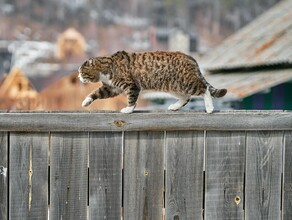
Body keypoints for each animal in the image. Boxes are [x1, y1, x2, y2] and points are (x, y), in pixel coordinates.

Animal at [77, 51, 226, 113]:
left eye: (82, 72)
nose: (78, 77)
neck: (108, 67)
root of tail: (191, 58)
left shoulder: (131, 85)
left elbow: (131, 99)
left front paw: (128, 109)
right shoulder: (112, 88)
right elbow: (95, 93)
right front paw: (86, 102)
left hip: (186, 82)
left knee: (204, 89)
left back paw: (209, 108)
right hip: (173, 86)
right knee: (186, 97)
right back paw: (174, 106)